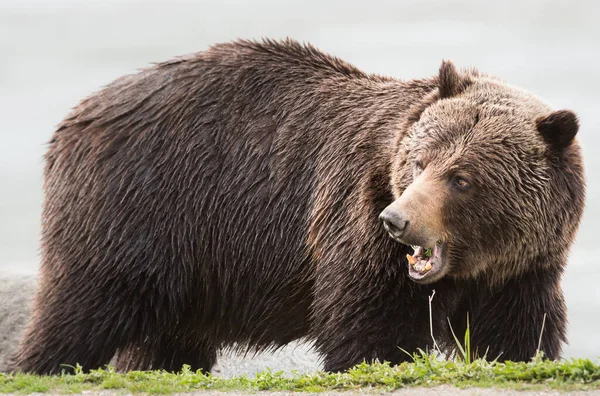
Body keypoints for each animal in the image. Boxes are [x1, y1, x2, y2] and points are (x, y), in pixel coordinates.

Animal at [9, 39, 584, 374]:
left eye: (461, 178)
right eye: (418, 162)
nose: (397, 220)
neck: (473, 267)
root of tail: (74, 116)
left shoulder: (523, 271)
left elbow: (517, 335)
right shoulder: (356, 220)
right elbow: (368, 327)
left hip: (186, 270)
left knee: (163, 340)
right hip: (136, 210)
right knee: (79, 309)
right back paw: (39, 364)